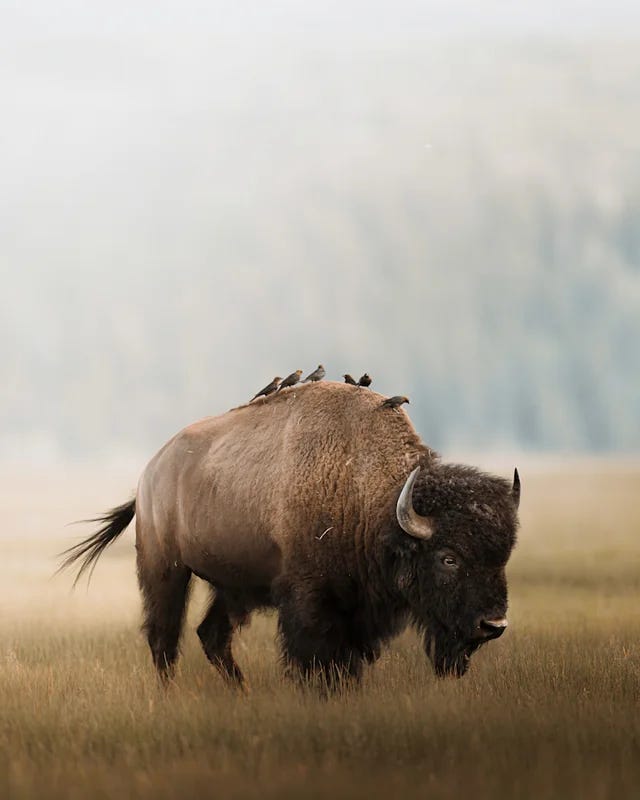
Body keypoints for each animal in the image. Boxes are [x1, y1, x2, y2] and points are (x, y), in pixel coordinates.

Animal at [61, 381, 520, 688]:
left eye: (503, 555)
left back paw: (241, 693)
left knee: (212, 636)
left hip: (232, 587)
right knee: (164, 639)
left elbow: (349, 663)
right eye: (448, 557)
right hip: (165, 570)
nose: (493, 624)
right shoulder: (311, 603)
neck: (369, 493)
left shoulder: (357, 612)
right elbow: (315, 658)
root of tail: (150, 472)